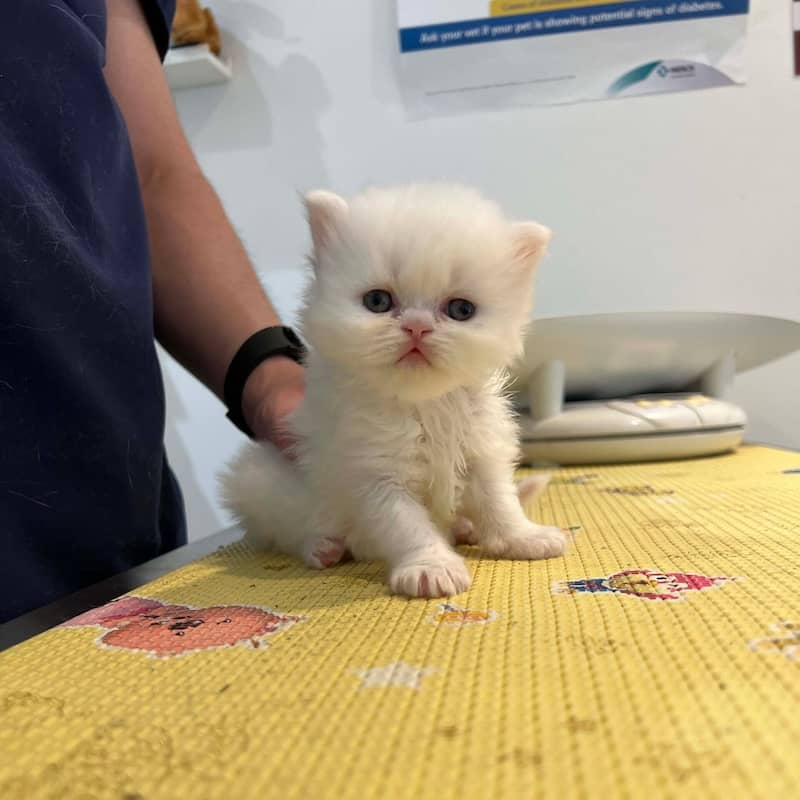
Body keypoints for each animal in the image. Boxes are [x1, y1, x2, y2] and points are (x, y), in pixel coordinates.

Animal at [222, 181, 564, 592]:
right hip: (261, 483)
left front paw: (523, 537)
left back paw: (466, 527)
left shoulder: (481, 452)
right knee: (290, 530)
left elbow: (499, 500)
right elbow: (406, 525)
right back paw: (324, 547)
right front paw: (431, 567)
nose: (417, 326)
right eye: (378, 301)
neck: (424, 404)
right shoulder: (373, 474)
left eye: (461, 310)